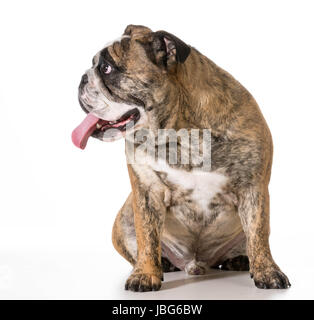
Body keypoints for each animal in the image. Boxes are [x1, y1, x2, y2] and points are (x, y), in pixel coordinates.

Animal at [72, 23, 290, 292]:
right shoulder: (146, 191)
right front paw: (145, 274)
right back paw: (163, 264)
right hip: (123, 219)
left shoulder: (253, 188)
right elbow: (147, 237)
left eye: (106, 68)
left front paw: (267, 272)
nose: (82, 78)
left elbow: (258, 234)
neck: (180, 133)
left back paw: (239, 259)